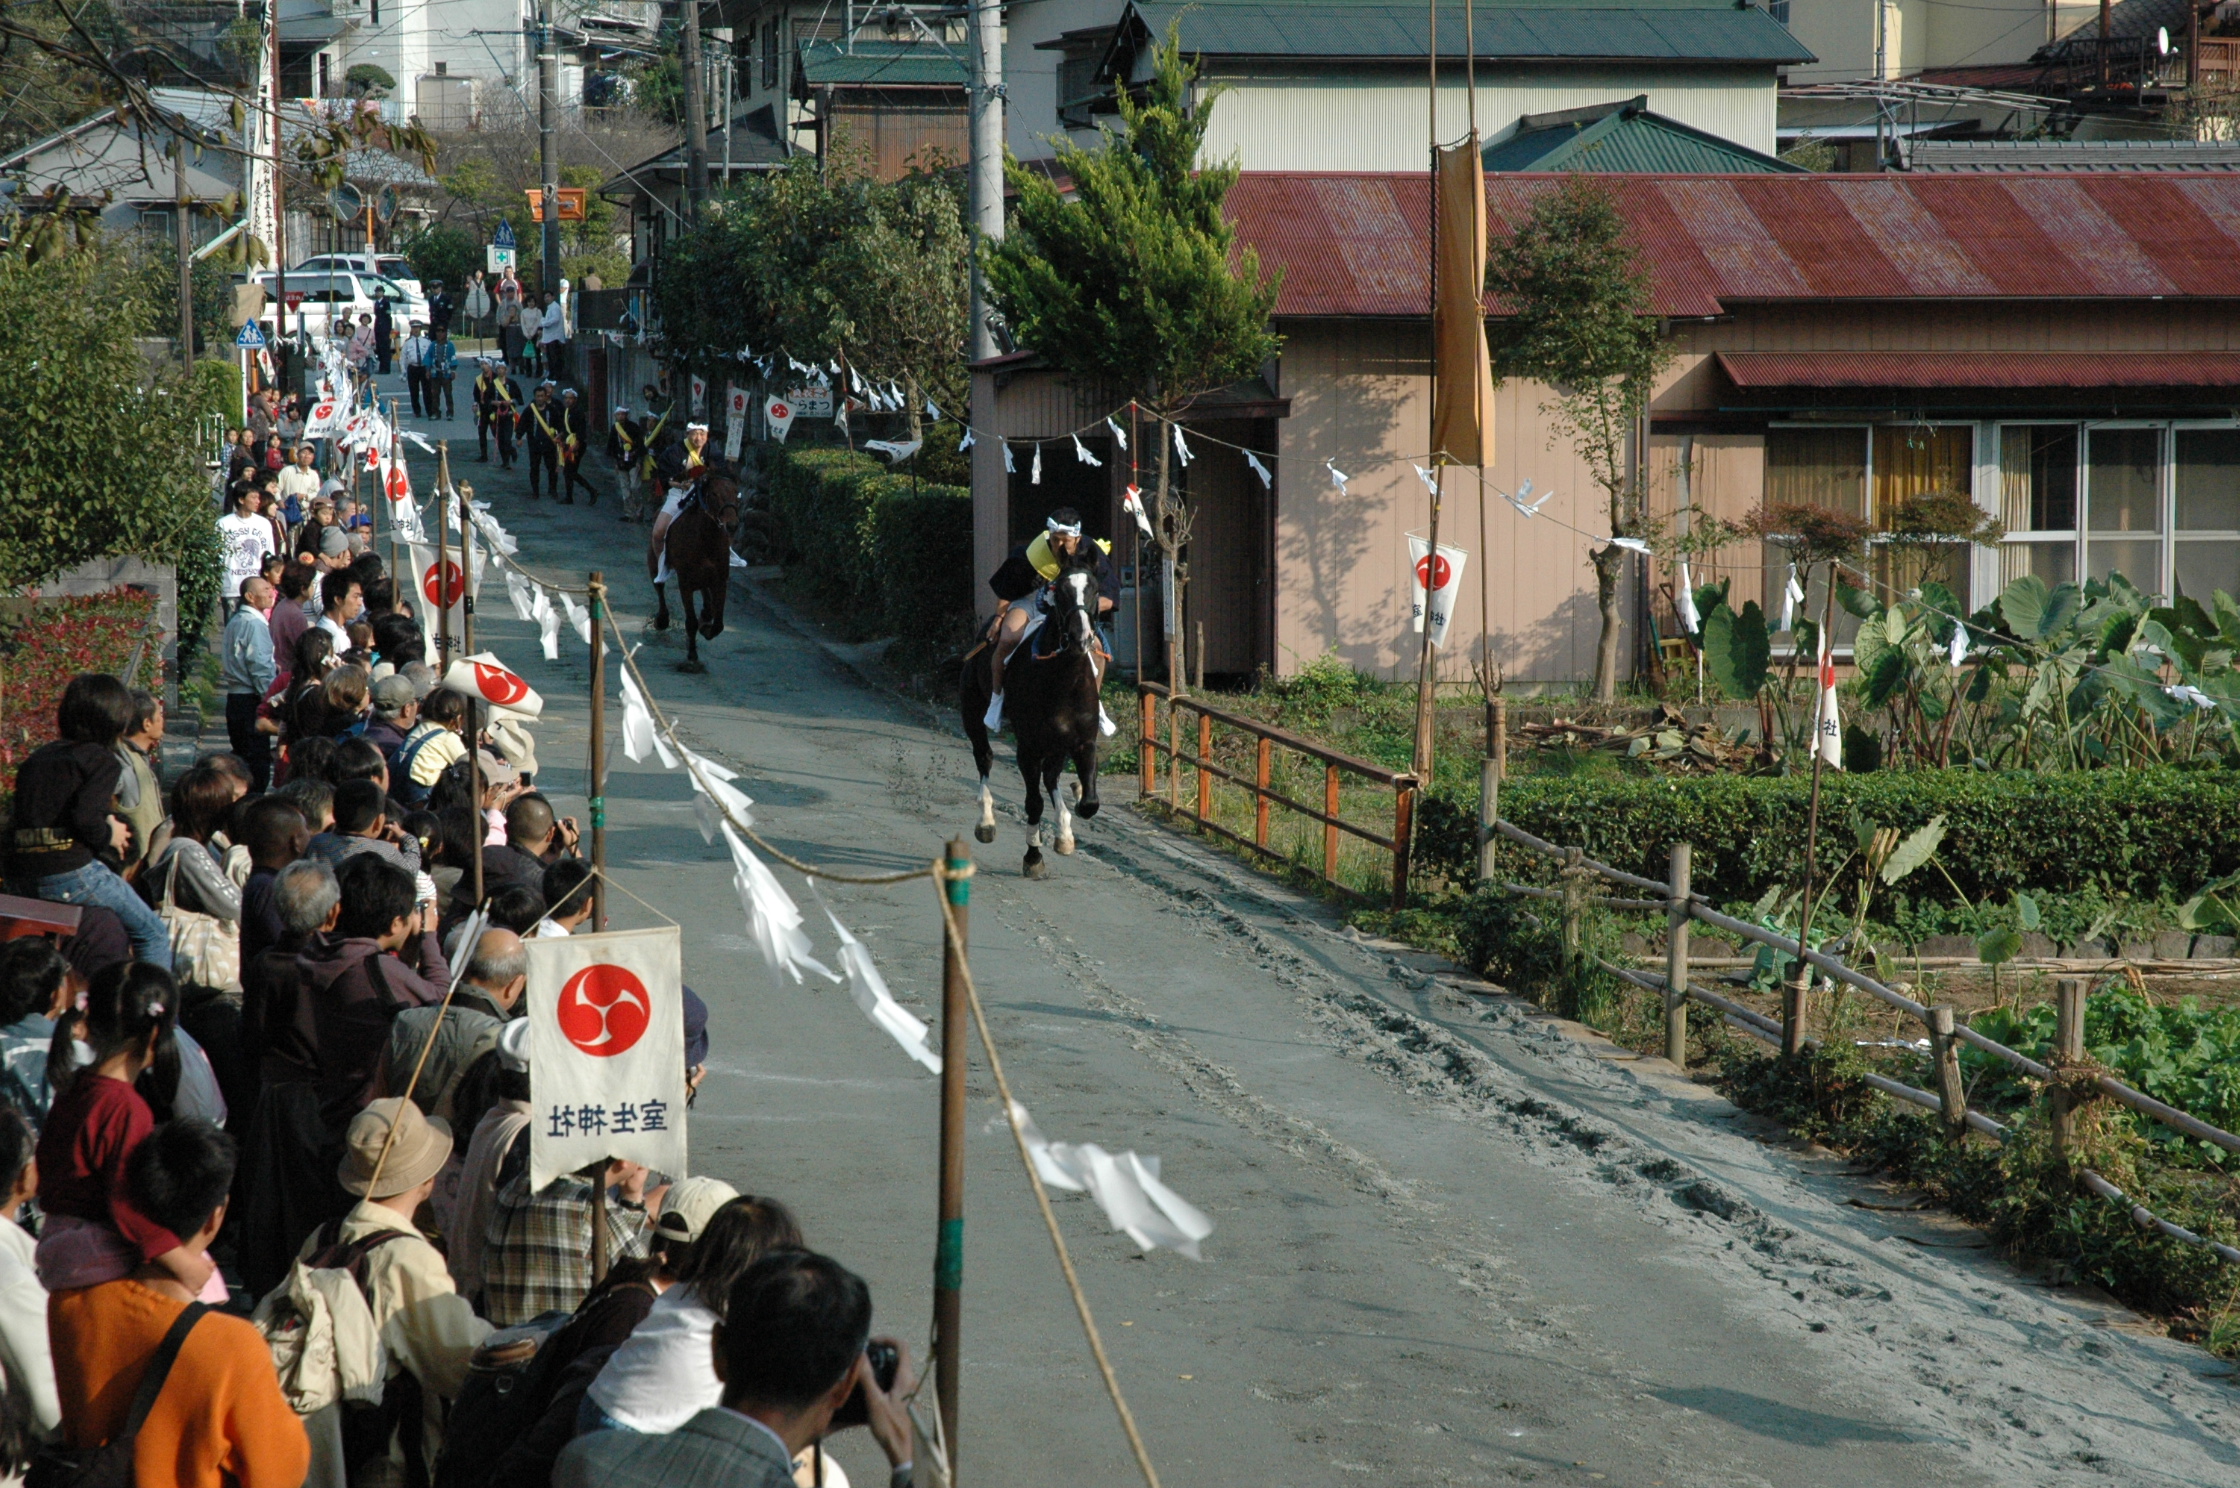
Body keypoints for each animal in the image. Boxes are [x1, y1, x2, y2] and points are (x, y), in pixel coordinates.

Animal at [654, 472, 743, 672]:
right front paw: (692, 656)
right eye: (714, 494)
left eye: (736, 493)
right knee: (659, 586)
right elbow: (691, 622)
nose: (732, 525)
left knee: (706, 599)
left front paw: (707, 628)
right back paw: (662, 619)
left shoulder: (720, 580)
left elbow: (718, 624)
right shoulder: (685, 582)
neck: (706, 539)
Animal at [958, 551, 1106, 878]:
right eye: (1060, 591)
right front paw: (1033, 856)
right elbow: (1034, 803)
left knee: (1050, 776)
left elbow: (1089, 802)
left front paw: (1070, 815)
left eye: (1094, 590)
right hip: (972, 710)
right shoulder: (1027, 747)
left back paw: (1064, 832)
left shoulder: (1083, 742)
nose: (1080, 638)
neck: (1063, 679)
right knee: (984, 757)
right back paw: (986, 822)